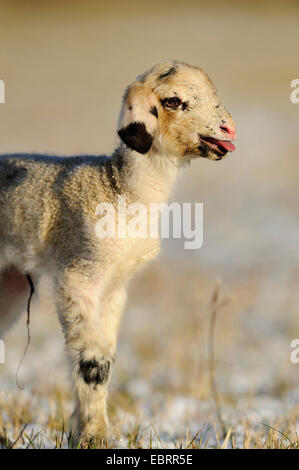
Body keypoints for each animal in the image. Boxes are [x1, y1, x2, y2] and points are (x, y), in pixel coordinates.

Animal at [0, 60, 236, 446]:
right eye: (173, 101)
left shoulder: (114, 288)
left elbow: (107, 360)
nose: (229, 128)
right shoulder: (78, 276)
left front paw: (84, 431)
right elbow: (92, 365)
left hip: (10, 284)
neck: (119, 188)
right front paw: (95, 438)